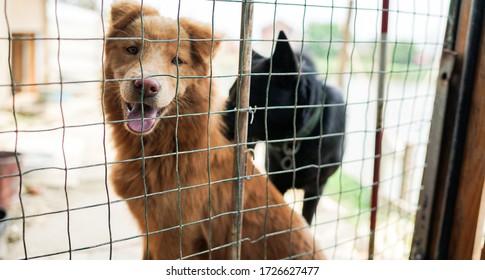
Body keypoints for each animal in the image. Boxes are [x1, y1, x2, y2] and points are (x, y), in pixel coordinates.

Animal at [103, 1, 322, 260]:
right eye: (132, 49)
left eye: (177, 61)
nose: (146, 86)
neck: (170, 148)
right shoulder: (151, 234)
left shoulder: (173, 237)